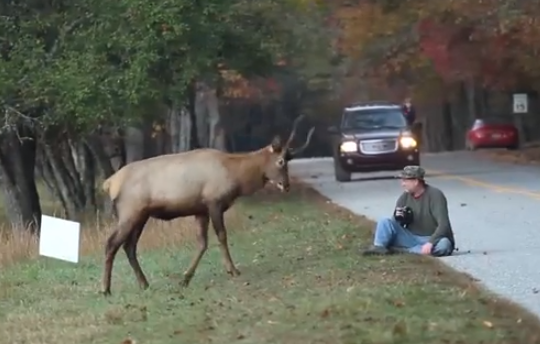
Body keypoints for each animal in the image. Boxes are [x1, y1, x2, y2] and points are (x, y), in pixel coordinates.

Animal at [99, 115, 314, 292]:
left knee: (129, 246)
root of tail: (109, 183)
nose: (285, 185)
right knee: (111, 243)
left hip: (141, 215)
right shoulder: (214, 202)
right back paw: (105, 289)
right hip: (130, 212)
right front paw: (232, 270)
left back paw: (144, 283)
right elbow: (222, 236)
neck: (236, 177)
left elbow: (202, 243)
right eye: (280, 161)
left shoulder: (200, 210)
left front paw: (185, 278)